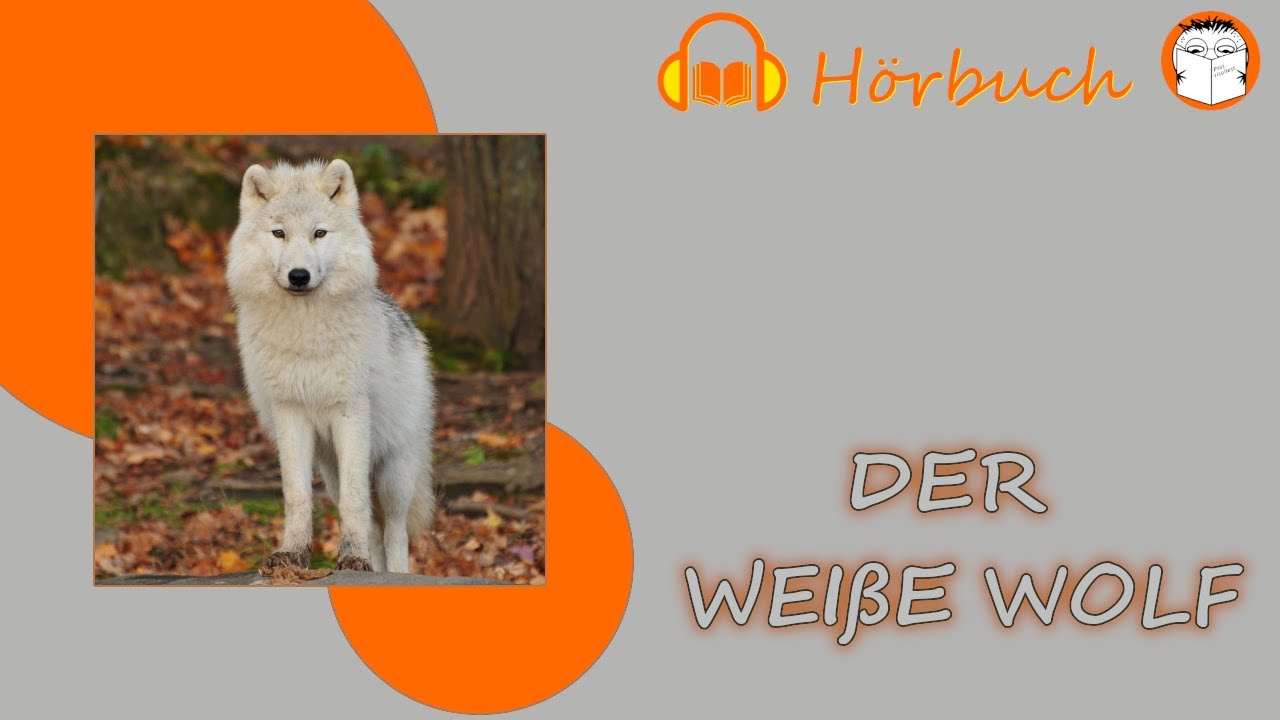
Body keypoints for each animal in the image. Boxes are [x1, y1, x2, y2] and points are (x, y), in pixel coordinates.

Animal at [226, 159, 435, 574]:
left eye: (319, 233)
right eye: (279, 233)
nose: (299, 276)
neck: (305, 335)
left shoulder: (349, 412)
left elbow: (356, 502)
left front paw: (351, 557)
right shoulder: (290, 413)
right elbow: (297, 495)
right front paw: (292, 554)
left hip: (394, 472)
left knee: (395, 530)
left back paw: (394, 574)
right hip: (331, 470)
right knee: (373, 527)